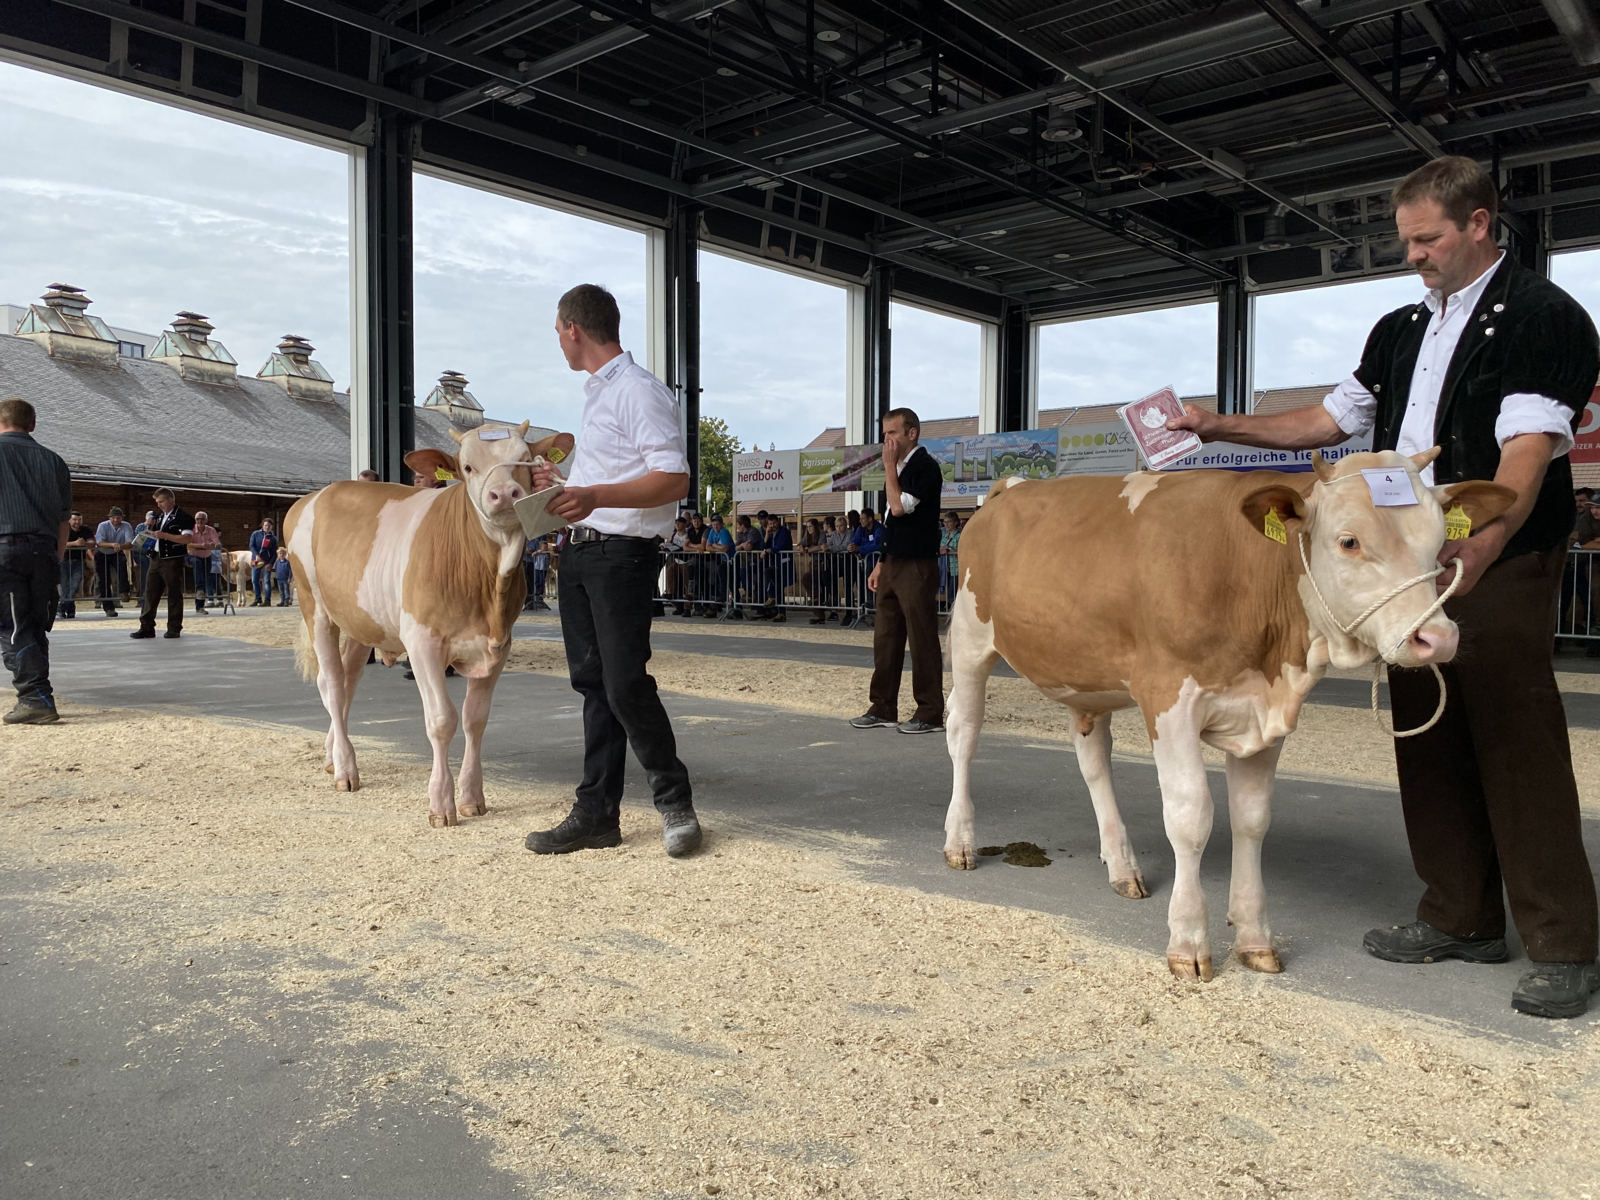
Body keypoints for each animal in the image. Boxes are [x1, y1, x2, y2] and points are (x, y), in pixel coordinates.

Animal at [283, 422, 575, 827]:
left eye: (525, 460)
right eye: (467, 467)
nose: (504, 493)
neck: (487, 585)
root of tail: (317, 495)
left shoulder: (499, 645)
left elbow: (475, 719)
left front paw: (472, 797)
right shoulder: (422, 642)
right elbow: (441, 720)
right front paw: (441, 803)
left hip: (361, 620)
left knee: (348, 681)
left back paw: (332, 756)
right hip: (316, 607)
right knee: (332, 685)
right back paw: (345, 769)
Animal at [942, 448, 1514, 981]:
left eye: (1439, 543)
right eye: (1348, 541)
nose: (1436, 637)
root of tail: (1011, 488)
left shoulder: (1264, 714)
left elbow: (1252, 820)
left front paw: (1255, 937)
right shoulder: (1168, 698)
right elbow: (1191, 817)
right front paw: (1189, 941)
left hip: (1088, 678)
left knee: (1093, 757)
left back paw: (1121, 864)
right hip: (970, 640)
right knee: (964, 734)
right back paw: (960, 841)